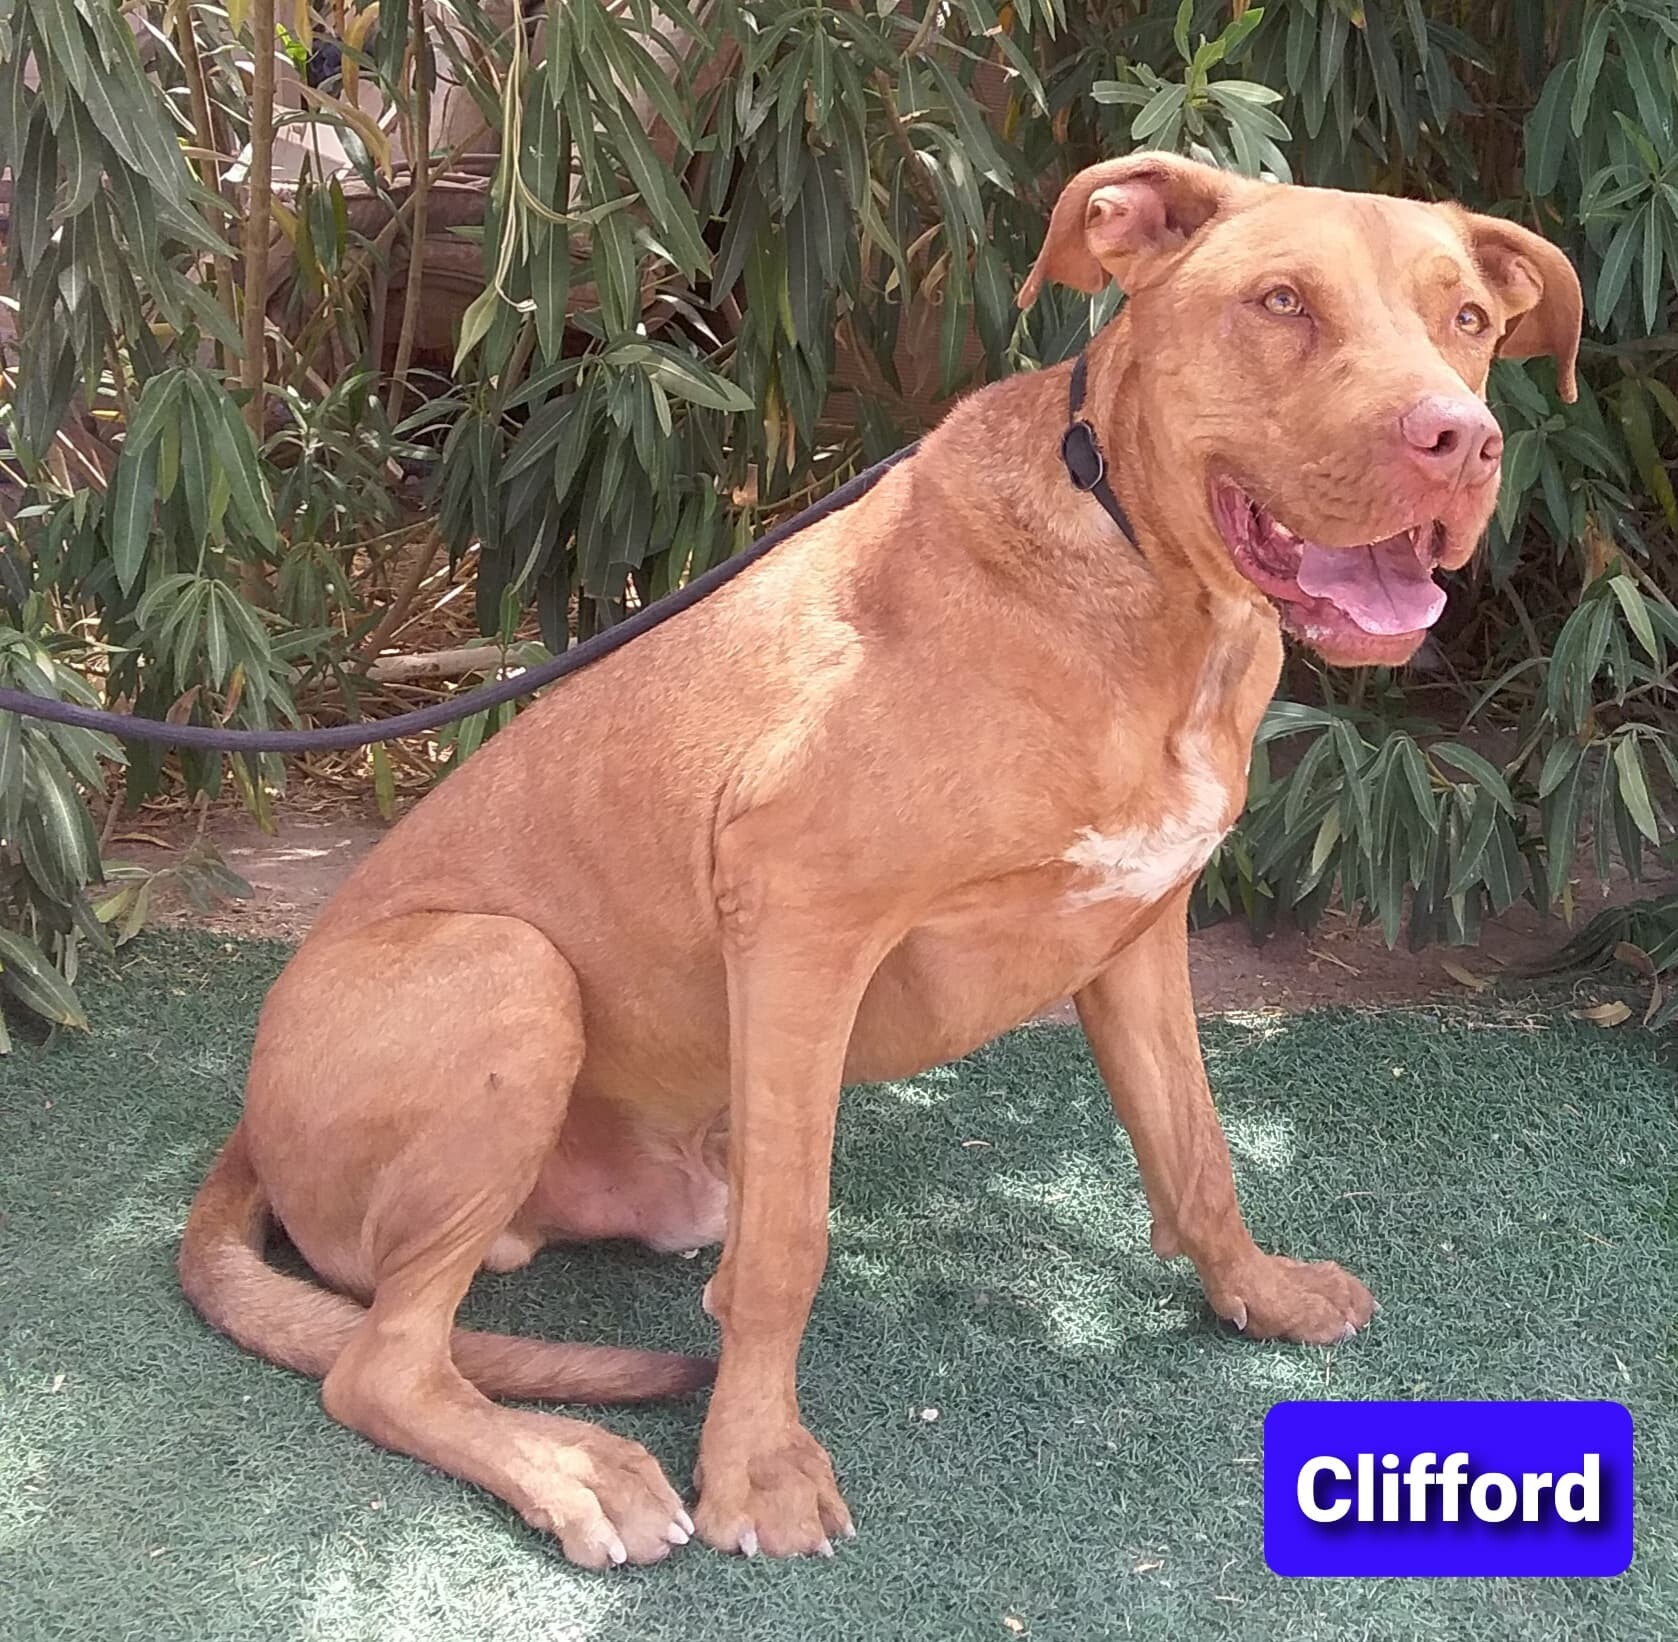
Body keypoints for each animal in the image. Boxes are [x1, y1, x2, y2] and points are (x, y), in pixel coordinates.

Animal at [177, 154, 1577, 1569]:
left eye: (1468, 319)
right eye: (1280, 300)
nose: (1460, 439)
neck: (1143, 596)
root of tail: (246, 1123)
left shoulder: (1139, 933)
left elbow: (1198, 1152)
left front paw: (1259, 1296)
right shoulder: (801, 918)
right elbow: (788, 1249)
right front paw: (757, 1466)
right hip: (510, 970)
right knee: (385, 1364)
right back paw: (570, 1463)